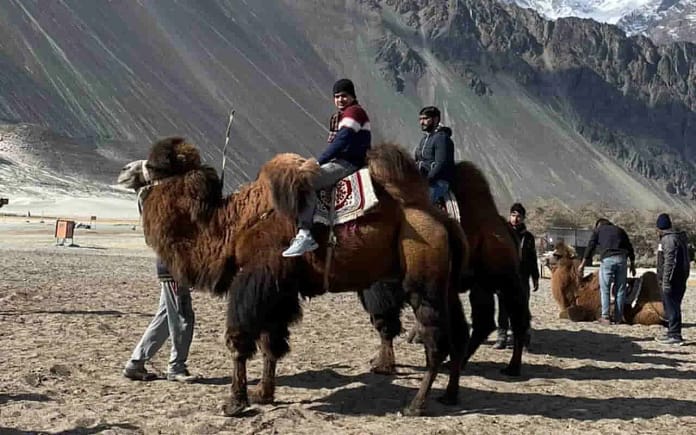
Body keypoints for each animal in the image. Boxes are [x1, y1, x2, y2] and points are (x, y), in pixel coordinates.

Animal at [117, 137, 470, 417]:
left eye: (156, 164)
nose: (124, 172)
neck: (233, 225)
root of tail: (443, 222)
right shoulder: (278, 289)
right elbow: (270, 342)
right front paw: (263, 394)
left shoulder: (255, 279)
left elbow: (240, 340)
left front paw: (235, 403)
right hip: (446, 284)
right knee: (458, 334)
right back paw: (449, 395)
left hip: (423, 280)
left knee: (436, 341)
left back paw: (416, 405)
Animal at [362, 161, 530, 376]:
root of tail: (506, 228)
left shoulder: (383, 286)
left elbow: (384, 323)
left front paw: (382, 365)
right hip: (480, 283)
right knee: (484, 322)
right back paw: (454, 363)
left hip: (505, 278)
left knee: (517, 318)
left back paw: (512, 368)